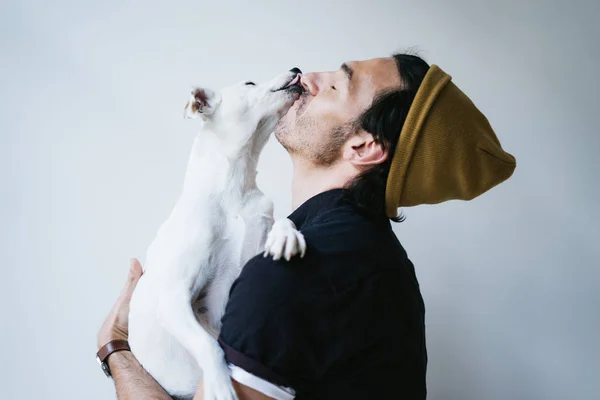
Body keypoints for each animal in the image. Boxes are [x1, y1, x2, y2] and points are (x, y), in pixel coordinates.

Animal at [126, 70, 304, 398]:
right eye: (249, 84)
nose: (297, 69)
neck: (234, 186)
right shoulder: (174, 298)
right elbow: (208, 344)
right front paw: (221, 385)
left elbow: (281, 222)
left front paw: (287, 236)